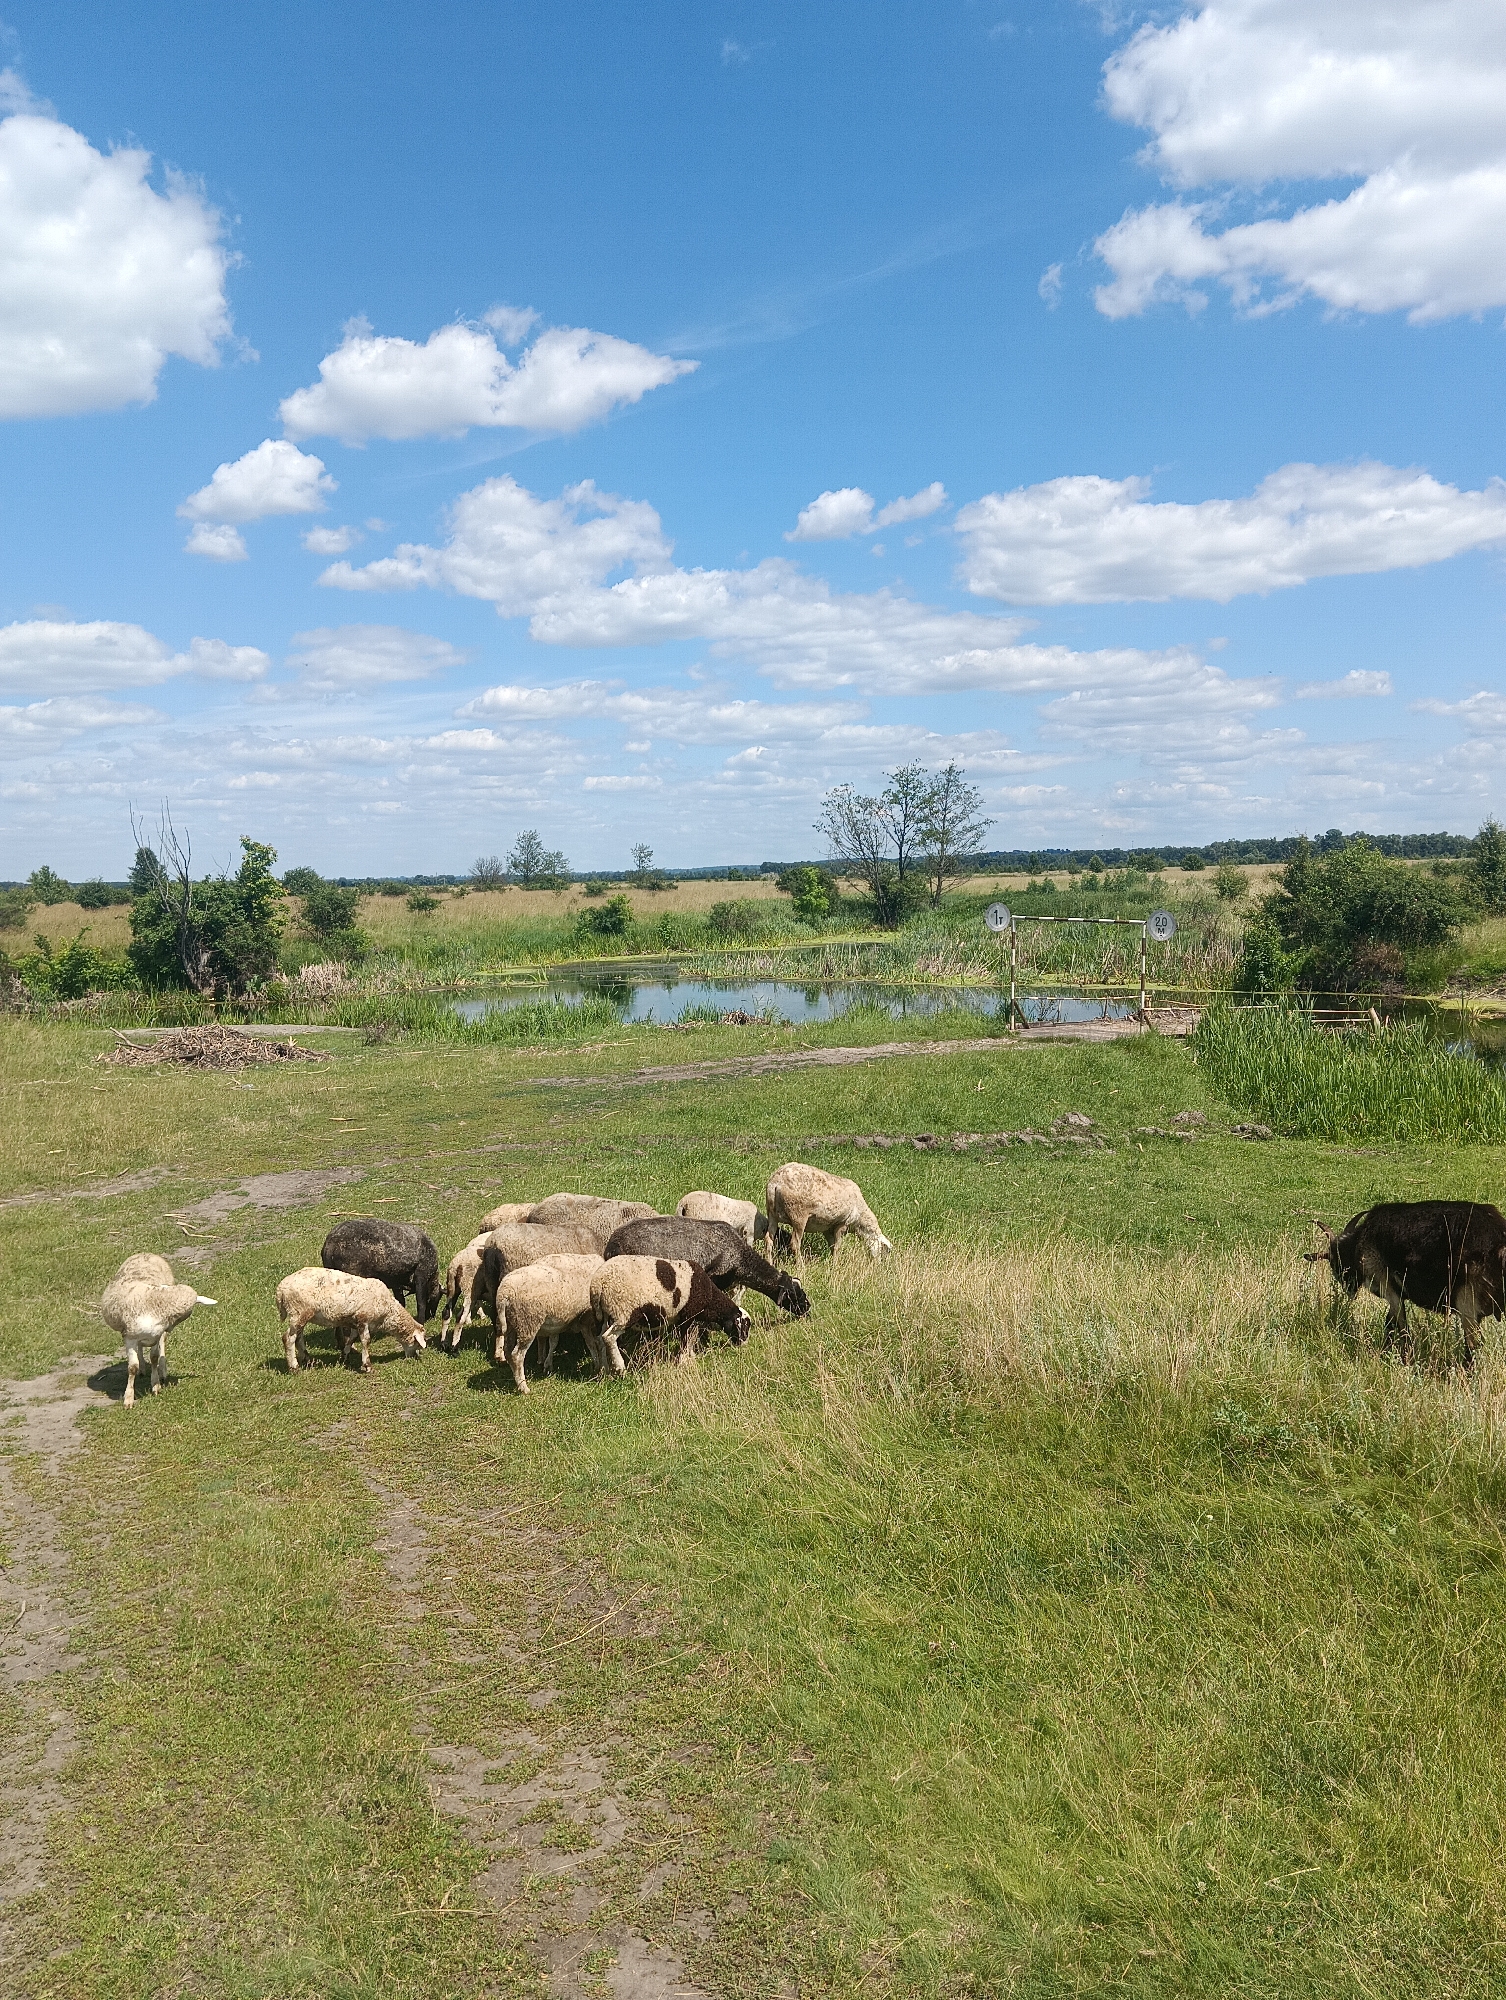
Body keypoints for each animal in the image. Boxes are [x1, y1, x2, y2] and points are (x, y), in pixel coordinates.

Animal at [99, 1255, 215, 1409]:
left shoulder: (156, 1335)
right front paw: (128, 1398)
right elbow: (132, 1367)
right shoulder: (129, 1337)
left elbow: (154, 1357)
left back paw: (162, 1371)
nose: (170, 1328)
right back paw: (142, 1368)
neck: (156, 1304)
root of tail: (146, 1253)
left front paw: (155, 1385)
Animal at [276, 1268, 427, 1374]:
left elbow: (351, 1339)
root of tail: (280, 1289)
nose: (413, 1357)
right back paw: (294, 1367)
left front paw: (344, 1357)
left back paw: (308, 1361)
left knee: (299, 1338)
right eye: (417, 1344)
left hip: (301, 1315)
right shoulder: (363, 1319)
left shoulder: (355, 1322)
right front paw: (367, 1366)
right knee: (288, 1338)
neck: (388, 1311)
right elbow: (366, 1341)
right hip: (298, 1312)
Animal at [493, 1253, 605, 1392]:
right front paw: (597, 1366)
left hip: (512, 1323)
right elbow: (592, 1344)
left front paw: (548, 1365)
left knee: (508, 1351)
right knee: (517, 1355)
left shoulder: (556, 1323)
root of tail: (504, 1294)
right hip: (528, 1322)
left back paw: (517, 1380)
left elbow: (553, 1342)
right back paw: (523, 1387)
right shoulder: (585, 1321)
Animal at [589, 1257, 750, 1376]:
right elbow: (686, 1339)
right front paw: (684, 1361)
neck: (710, 1300)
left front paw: (690, 1357)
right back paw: (620, 1368)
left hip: (605, 1314)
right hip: (624, 1311)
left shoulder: (686, 1318)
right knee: (608, 1337)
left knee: (600, 1339)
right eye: (745, 1325)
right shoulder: (689, 1315)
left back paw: (604, 1370)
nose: (744, 1344)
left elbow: (689, 1338)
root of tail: (597, 1284)